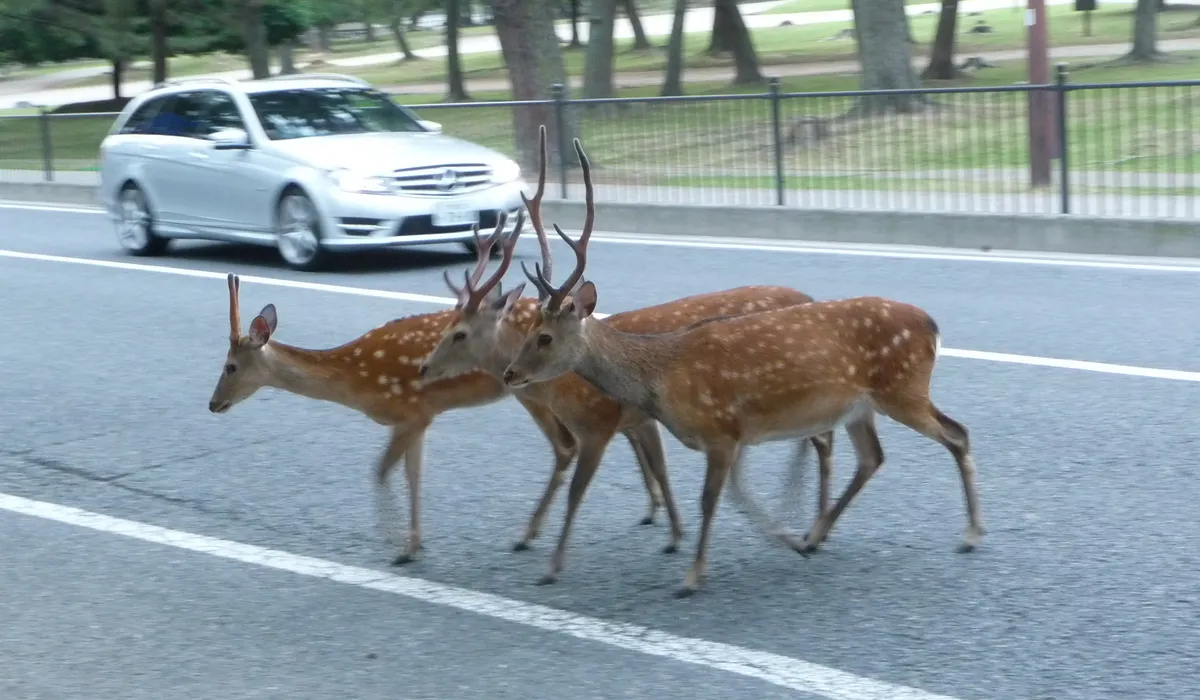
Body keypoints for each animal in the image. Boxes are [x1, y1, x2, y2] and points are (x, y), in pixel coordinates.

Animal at [207, 260, 676, 569]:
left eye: (230, 366)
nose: (212, 404)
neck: (354, 381)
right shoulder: (420, 417)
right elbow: (414, 474)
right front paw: (415, 543)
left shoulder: (410, 411)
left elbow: (382, 471)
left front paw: (396, 544)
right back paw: (650, 507)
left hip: (532, 392)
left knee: (569, 445)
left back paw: (533, 534)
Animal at [416, 126, 835, 585]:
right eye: (447, 326)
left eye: (459, 333)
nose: (423, 366)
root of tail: (809, 297)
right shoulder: (637, 420)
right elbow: (653, 466)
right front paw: (667, 528)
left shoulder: (604, 423)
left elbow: (589, 482)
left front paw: (547, 555)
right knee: (816, 436)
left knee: (823, 437)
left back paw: (813, 526)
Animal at [499, 136, 986, 598]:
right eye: (528, 330)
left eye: (544, 337)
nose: (509, 374)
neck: (660, 378)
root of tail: (931, 326)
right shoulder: (738, 432)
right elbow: (738, 493)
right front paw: (785, 540)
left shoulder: (719, 428)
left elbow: (710, 499)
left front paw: (692, 577)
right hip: (860, 406)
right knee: (873, 457)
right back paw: (816, 535)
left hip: (902, 387)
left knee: (957, 433)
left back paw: (971, 534)